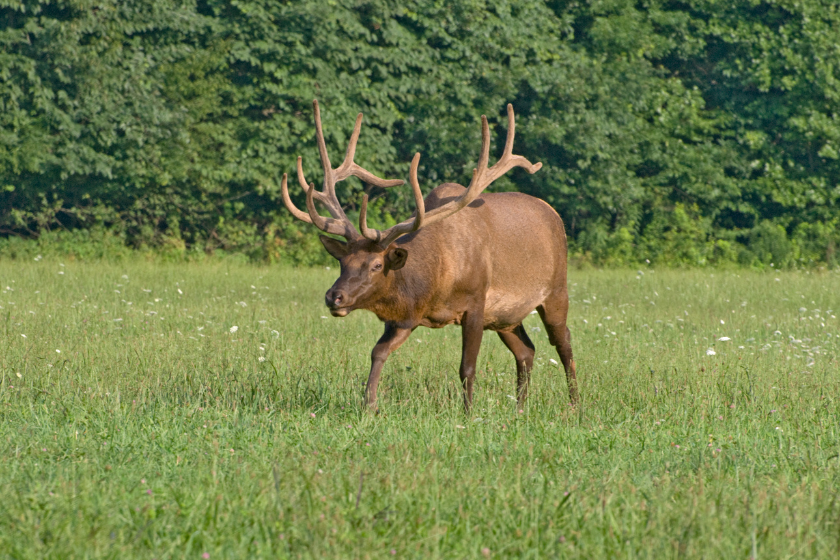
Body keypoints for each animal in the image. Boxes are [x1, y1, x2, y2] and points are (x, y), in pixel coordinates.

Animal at [282, 100, 576, 412]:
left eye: (376, 265)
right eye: (342, 262)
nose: (334, 297)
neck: (436, 281)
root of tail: (554, 214)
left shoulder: (476, 302)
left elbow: (467, 367)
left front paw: (468, 413)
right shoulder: (407, 317)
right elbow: (378, 352)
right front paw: (369, 406)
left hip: (556, 291)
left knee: (564, 343)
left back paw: (575, 405)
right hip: (505, 316)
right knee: (527, 350)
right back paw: (519, 408)